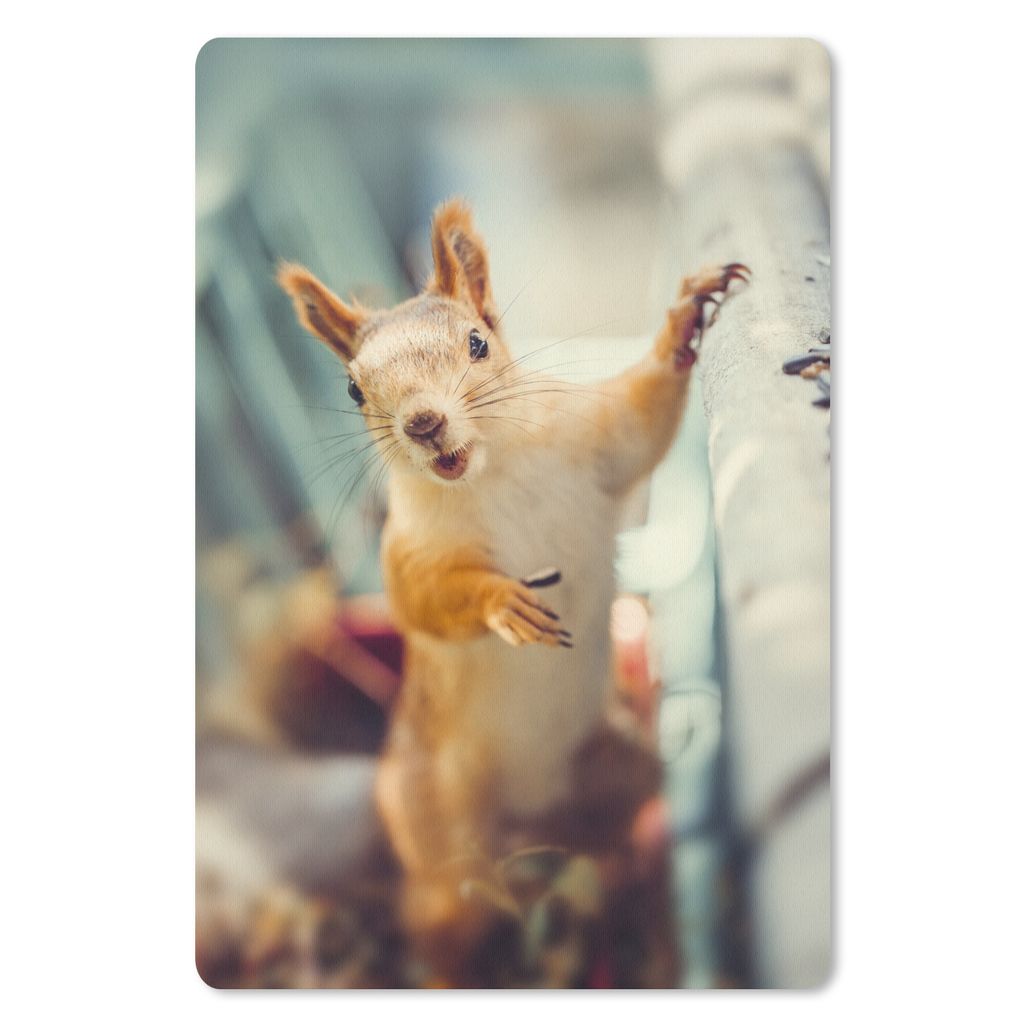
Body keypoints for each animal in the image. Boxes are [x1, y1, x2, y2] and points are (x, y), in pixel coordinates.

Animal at [278, 199, 748, 982]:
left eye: (478, 343)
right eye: (352, 388)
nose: (424, 422)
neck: (490, 469)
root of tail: (532, 828)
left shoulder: (597, 442)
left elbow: (642, 418)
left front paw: (686, 319)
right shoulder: (412, 555)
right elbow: (430, 600)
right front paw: (503, 602)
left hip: (619, 772)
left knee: (611, 848)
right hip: (439, 836)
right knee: (447, 925)